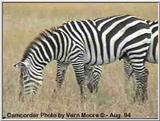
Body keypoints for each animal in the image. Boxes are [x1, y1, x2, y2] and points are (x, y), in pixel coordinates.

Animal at [14, 14, 152, 103]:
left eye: (25, 79)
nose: (21, 101)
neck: (60, 44)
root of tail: (143, 22)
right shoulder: (63, 61)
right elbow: (59, 80)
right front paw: (53, 100)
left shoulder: (77, 58)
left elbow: (80, 80)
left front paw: (83, 101)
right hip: (131, 54)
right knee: (143, 73)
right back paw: (141, 99)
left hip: (136, 51)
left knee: (141, 75)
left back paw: (140, 100)